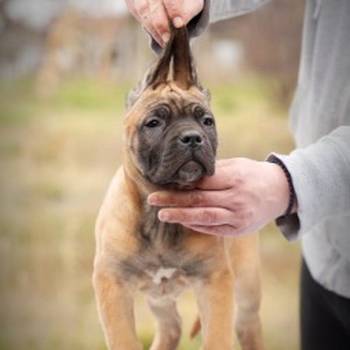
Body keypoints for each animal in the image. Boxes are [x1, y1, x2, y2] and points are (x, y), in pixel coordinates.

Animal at [93, 28, 262, 350]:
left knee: (247, 327)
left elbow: (217, 338)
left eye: (207, 121)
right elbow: (124, 339)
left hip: (246, 288)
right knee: (170, 327)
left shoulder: (215, 281)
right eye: (154, 123)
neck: (160, 215)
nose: (193, 137)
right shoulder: (112, 284)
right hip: (159, 296)